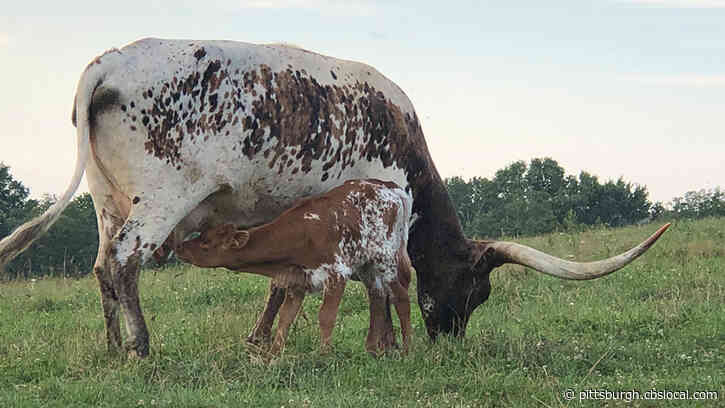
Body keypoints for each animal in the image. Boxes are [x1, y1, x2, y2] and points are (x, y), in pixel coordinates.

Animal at [175, 179, 413, 355]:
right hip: (367, 266)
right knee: (377, 297)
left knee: (401, 297)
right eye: (202, 236)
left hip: (386, 260)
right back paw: (371, 348)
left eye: (206, 243)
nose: (180, 247)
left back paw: (407, 349)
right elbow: (285, 320)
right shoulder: (296, 282)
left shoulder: (337, 274)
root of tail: (388, 186)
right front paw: (273, 358)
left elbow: (326, 317)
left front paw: (324, 355)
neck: (301, 234)